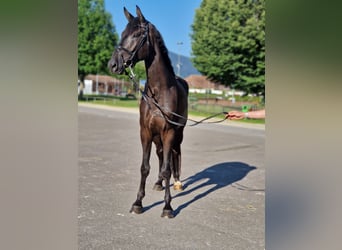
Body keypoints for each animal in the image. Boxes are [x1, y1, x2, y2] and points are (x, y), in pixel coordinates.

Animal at [108, 4, 188, 218]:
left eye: (137, 34)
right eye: (122, 33)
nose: (113, 65)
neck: (159, 91)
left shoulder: (169, 131)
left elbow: (167, 168)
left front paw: (168, 207)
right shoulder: (145, 132)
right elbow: (145, 167)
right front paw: (138, 203)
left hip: (178, 133)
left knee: (176, 154)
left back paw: (178, 181)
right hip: (157, 136)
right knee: (161, 155)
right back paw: (159, 183)